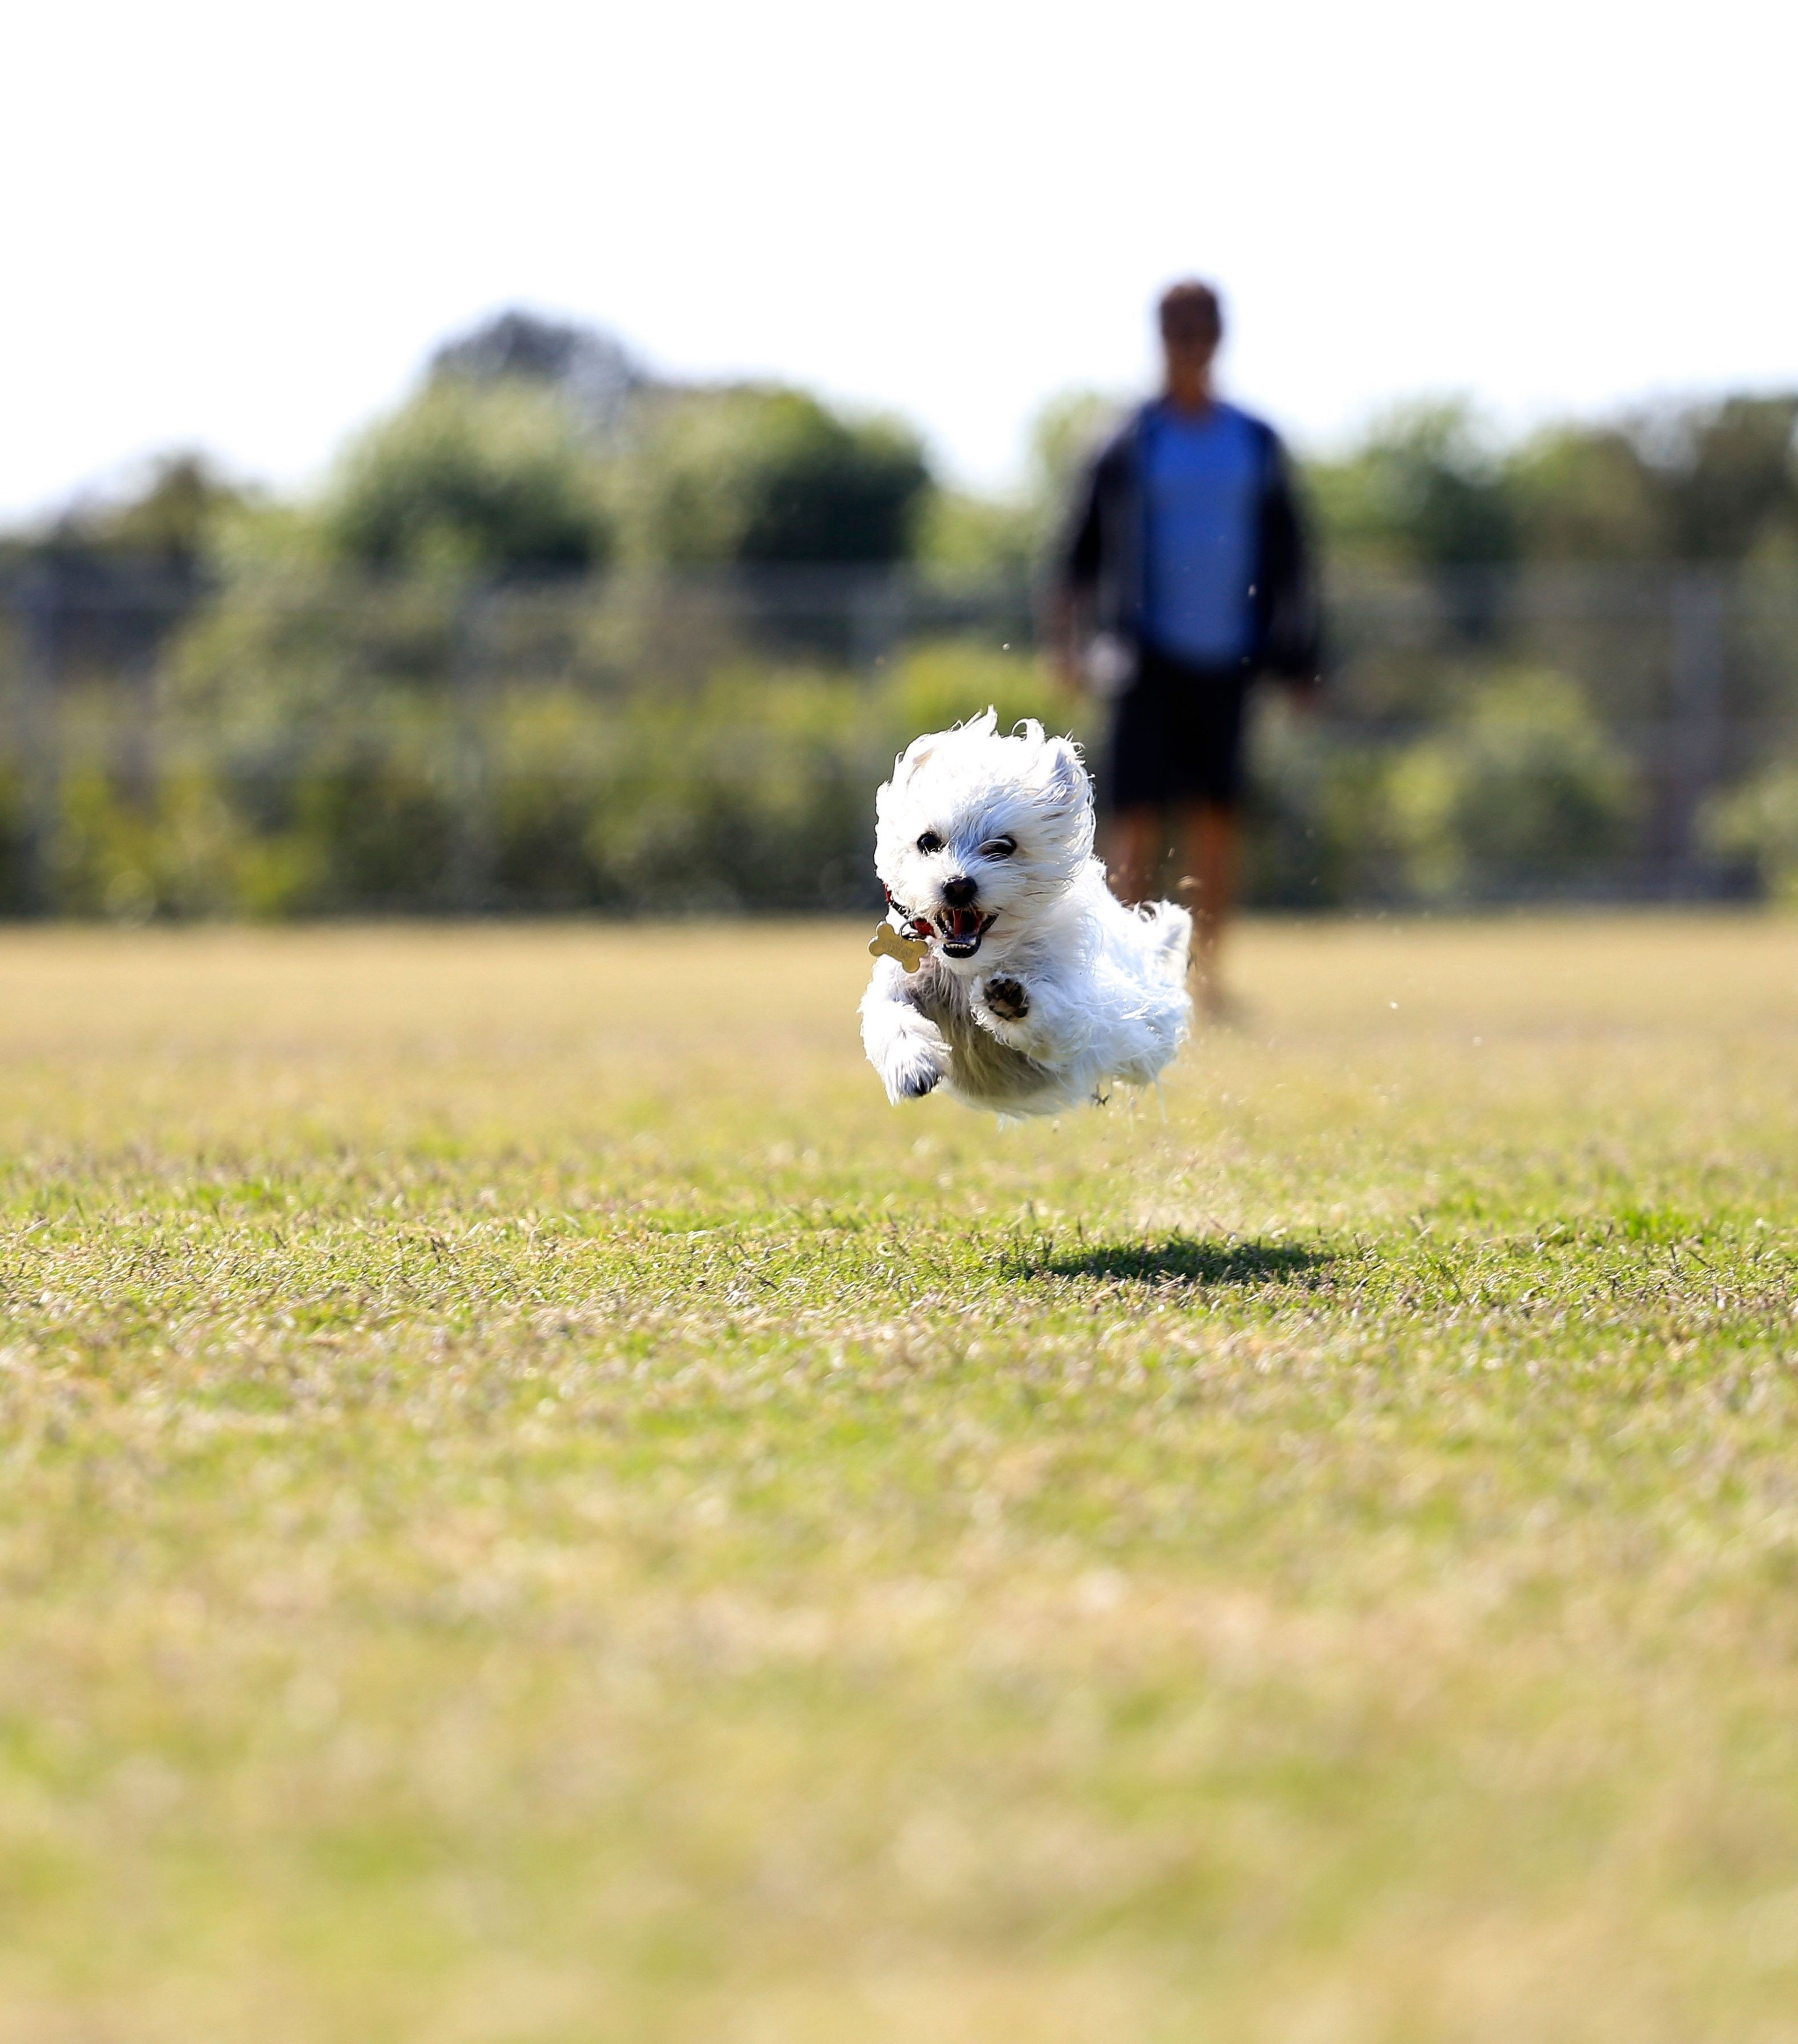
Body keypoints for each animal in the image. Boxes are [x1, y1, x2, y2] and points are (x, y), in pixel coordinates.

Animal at [862, 707, 1193, 1120]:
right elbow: (891, 1017)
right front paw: (911, 1067)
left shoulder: (1076, 1012)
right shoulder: (898, 984)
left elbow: (1058, 1018)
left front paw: (1011, 1000)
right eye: (928, 842)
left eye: (1004, 846)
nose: (958, 885)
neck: (973, 964)